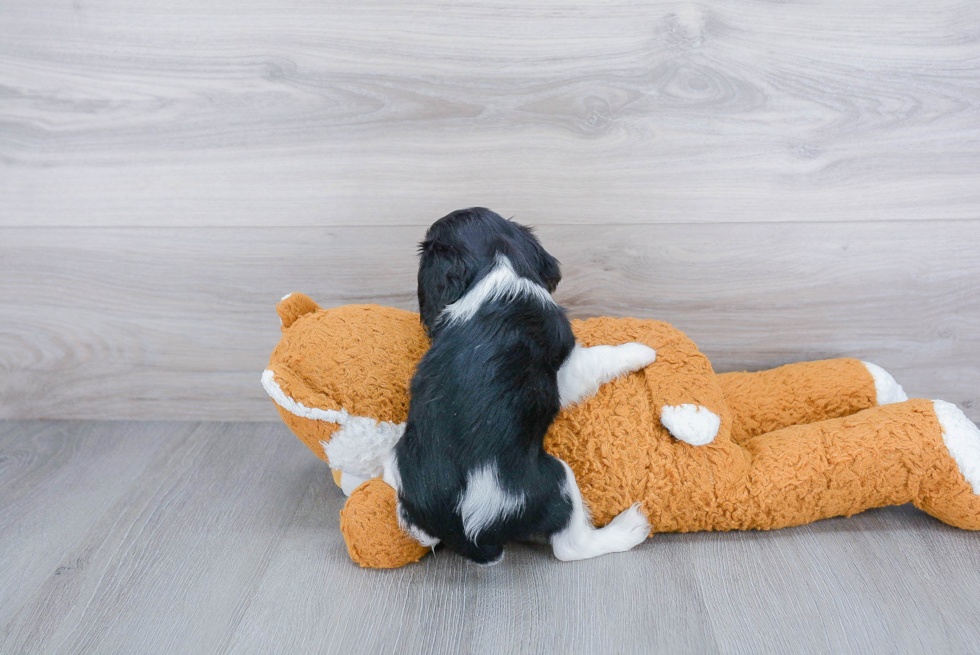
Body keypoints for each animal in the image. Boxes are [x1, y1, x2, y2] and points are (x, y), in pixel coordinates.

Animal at [382, 209, 660, 564]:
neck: (495, 271)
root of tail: (464, 531)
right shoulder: (567, 368)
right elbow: (603, 356)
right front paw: (642, 351)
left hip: (402, 463)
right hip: (554, 480)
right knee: (570, 546)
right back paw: (628, 528)